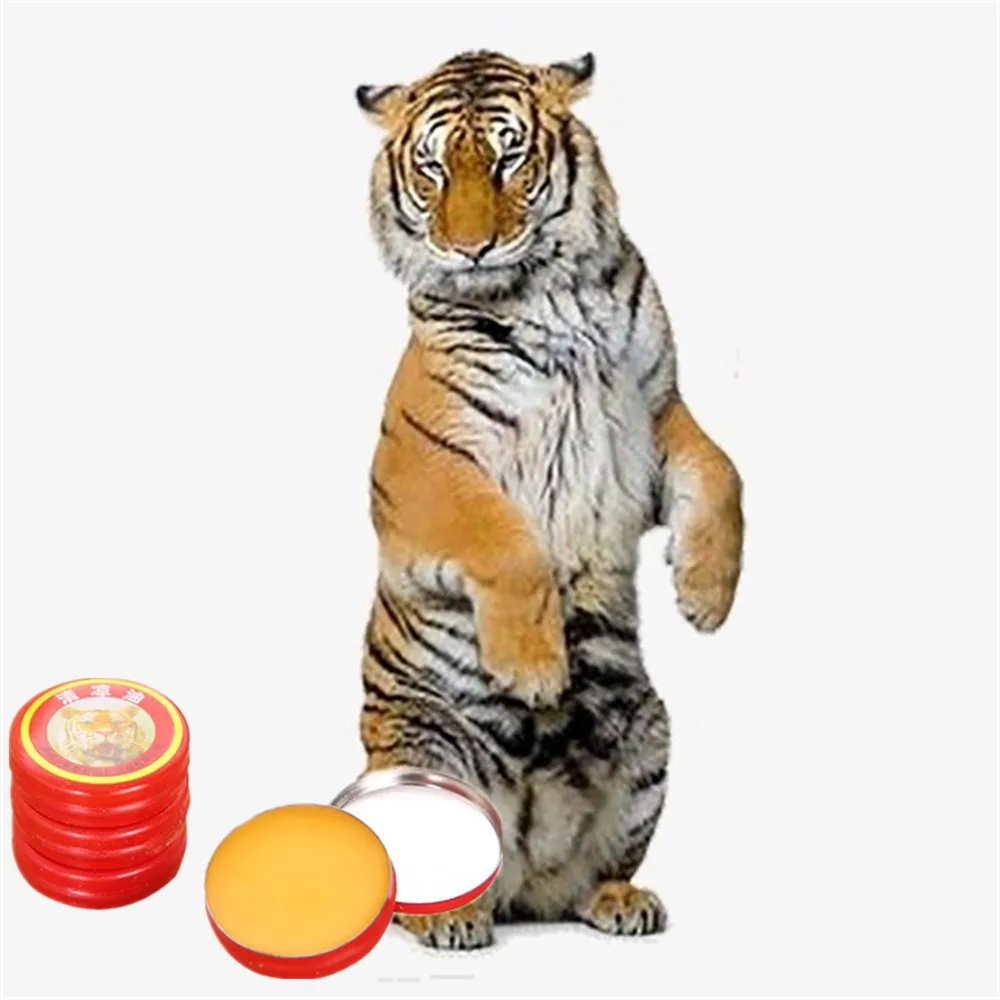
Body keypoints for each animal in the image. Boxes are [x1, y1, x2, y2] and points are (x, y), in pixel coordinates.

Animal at [355, 50, 744, 949]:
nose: (470, 248)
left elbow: (722, 474)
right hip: (422, 751)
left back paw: (620, 901)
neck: (545, 293)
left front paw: (706, 597)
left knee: (585, 878)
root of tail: (519, 871)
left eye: (507, 158)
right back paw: (451, 918)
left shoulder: (654, 413)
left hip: (650, 736)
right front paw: (535, 670)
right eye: (433, 167)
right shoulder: (426, 471)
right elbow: (505, 539)